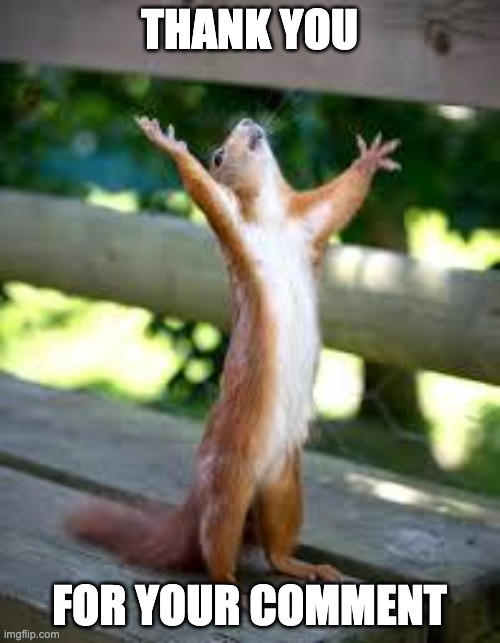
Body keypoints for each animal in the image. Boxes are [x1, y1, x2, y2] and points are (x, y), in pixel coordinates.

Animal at [68, 116, 400, 585]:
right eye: (218, 155)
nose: (247, 121)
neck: (274, 218)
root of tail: (197, 498)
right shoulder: (235, 228)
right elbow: (204, 193)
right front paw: (170, 145)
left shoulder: (309, 221)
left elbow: (341, 199)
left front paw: (370, 159)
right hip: (228, 488)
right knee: (216, 548)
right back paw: (230, 584)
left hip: (284, 485)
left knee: (276, 549)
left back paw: (307, 565)